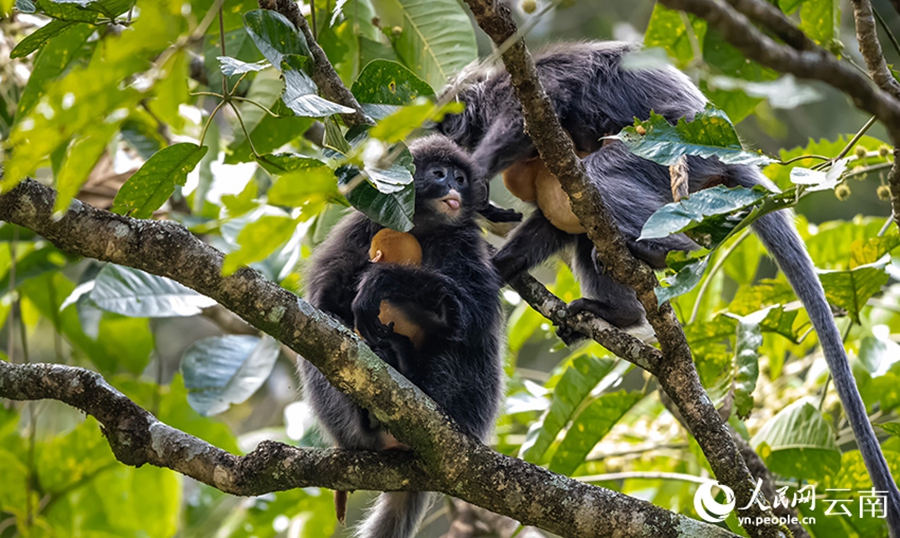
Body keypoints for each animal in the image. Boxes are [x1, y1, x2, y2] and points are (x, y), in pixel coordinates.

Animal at [298, 135, 505, 538]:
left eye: (460, 178)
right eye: (439, 174)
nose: (453, 188)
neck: (421, 227)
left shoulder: (466, 241)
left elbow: (476, 311)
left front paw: (382, 280)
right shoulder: (362, 225)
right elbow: (323, 300)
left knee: (470, 337)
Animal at [437, 40, 900, 526]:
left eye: (446, 123)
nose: (446, 137)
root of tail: (731, 150)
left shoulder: (524, 88)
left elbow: (537, 113)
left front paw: (477, 177)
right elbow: (552, 221)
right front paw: (497, 265)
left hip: (675, 153)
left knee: (601, 176)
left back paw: (664, 250)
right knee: (585, 220)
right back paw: (620, 311)